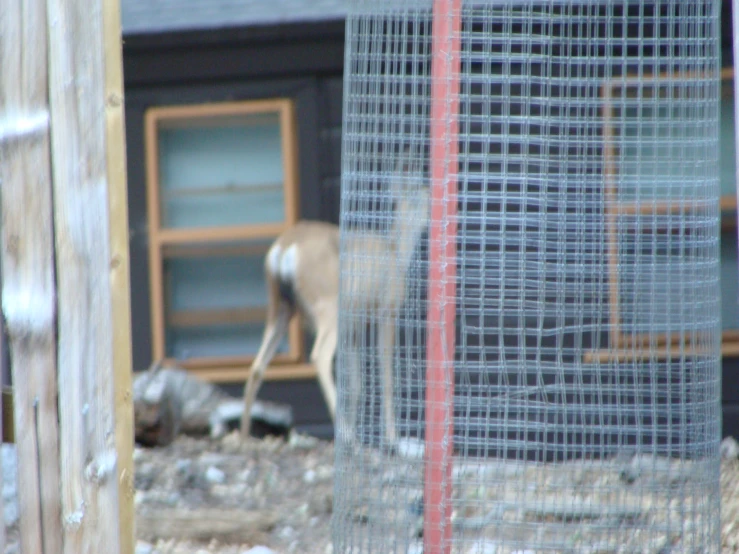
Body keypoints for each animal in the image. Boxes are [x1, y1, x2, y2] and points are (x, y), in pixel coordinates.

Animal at [240, 150, 430, 448]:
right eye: (427, 195)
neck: (397, 251)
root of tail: (284, 248)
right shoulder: (387, 310)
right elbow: (386, 375)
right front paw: (392, 439)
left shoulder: (353, 327)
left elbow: (356, 383)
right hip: (327, 305)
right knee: (319, 356)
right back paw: (346, 435)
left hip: (280, 306)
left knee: (257, 366)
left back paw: (245, 437)